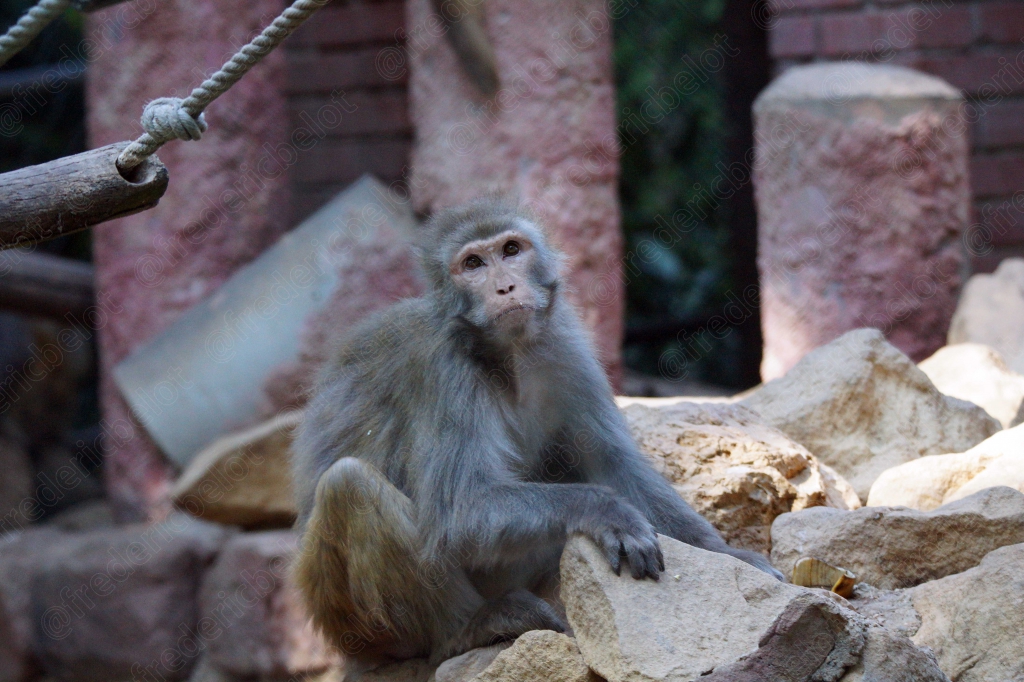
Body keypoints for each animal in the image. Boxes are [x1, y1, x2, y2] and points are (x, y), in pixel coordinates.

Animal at [291, 198, 782, 669]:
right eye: (473, 264)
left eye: (511, 250)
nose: (505, 287)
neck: (508, 355)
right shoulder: (443, 372)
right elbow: (460, 510)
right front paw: (604, 510)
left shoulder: (565, 344)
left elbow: (613, 462)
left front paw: (725, 554)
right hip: (349, 619)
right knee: (348, 483)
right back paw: (469, 628)